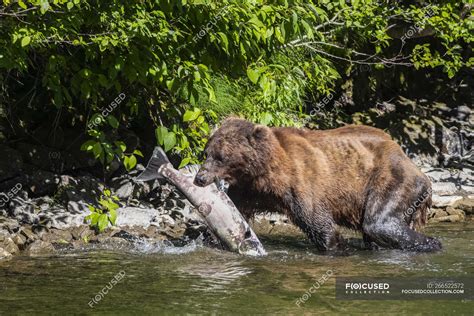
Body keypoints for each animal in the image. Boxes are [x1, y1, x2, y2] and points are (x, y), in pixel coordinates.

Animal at [193, 117, 440, 253]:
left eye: (221, 157)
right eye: (207, 152)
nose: (199, 178)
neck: (265, 172)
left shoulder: (300, 181)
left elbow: (317, 221)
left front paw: (337, 246)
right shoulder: (250, 190)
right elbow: (236, 213)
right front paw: (209, 237)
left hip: (391, 179)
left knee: (379, 223)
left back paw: (432, 243)